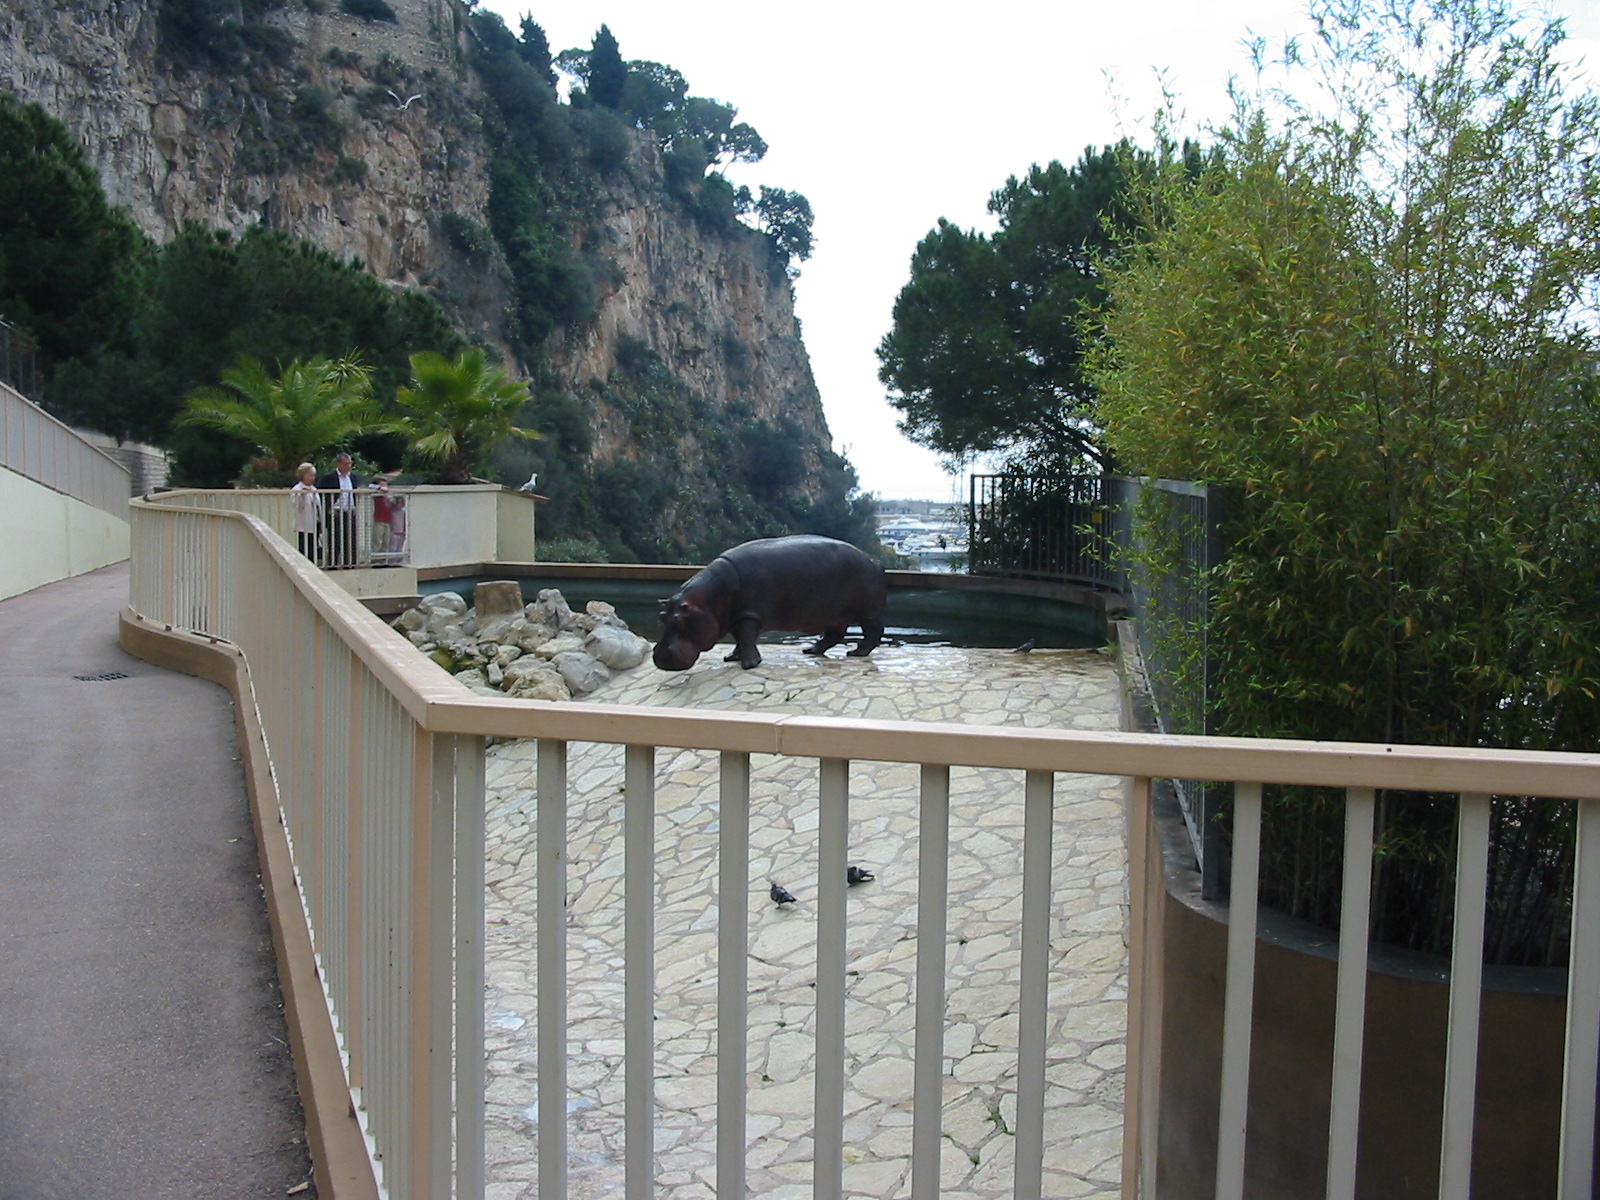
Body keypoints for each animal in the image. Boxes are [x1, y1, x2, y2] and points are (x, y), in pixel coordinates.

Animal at [653, 535, 888, 670]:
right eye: (662, 618)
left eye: (679, 620)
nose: (660, 657)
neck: (709, 599)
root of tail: (874, 560)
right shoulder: (736, 617)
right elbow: (738, 639)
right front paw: (731, 657)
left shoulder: (749, 616)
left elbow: (746, 638)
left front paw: (749, 665)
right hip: (833, 615)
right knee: (833, 635)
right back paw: (811, 650)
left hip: (868, 613)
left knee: (873, 633)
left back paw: (856, 653)